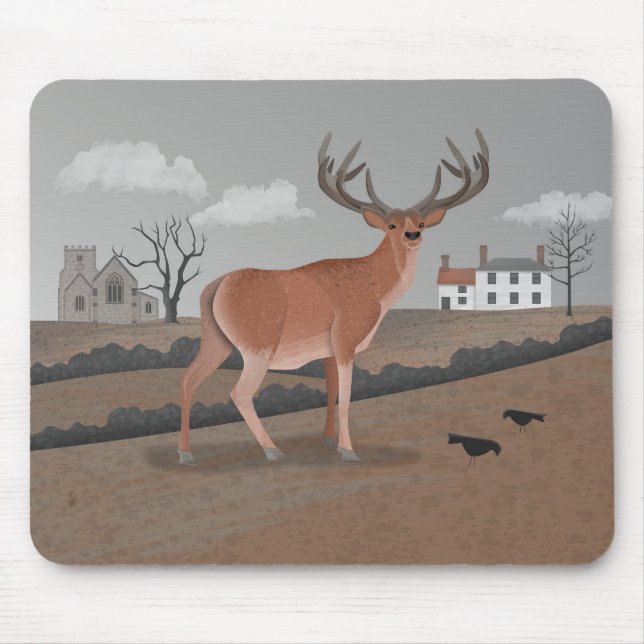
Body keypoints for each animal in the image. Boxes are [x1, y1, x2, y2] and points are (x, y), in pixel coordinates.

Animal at [176, 130, 489, 465]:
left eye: (420, 222)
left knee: (188, 378)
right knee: (240, 393)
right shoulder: (345, 338)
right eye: (391, 224)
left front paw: (328, 439)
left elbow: (332, 389)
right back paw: (272, 450)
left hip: (217, 339)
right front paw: (348, 449)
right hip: (258, 343)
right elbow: (348, 395)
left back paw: (185, 453)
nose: (412, 235)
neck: (374, 290)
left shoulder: (326, 348)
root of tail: (214, 287)